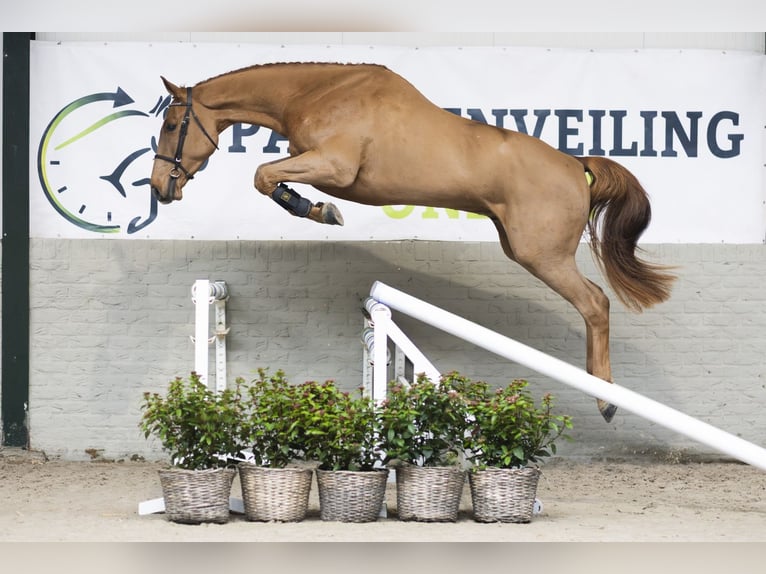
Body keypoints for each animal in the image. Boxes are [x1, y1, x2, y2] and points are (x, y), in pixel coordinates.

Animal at [150, 62, 676, 422]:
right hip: (519, 246)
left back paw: (606, 398)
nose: (159, 189)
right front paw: (316, 209)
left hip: (541, 255)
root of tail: (576, 165)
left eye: (172, 126)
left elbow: (263, 175)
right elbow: (266, 176)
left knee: (595, 304)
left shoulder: (334, 167)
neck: (316, 93)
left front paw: (319, 211)